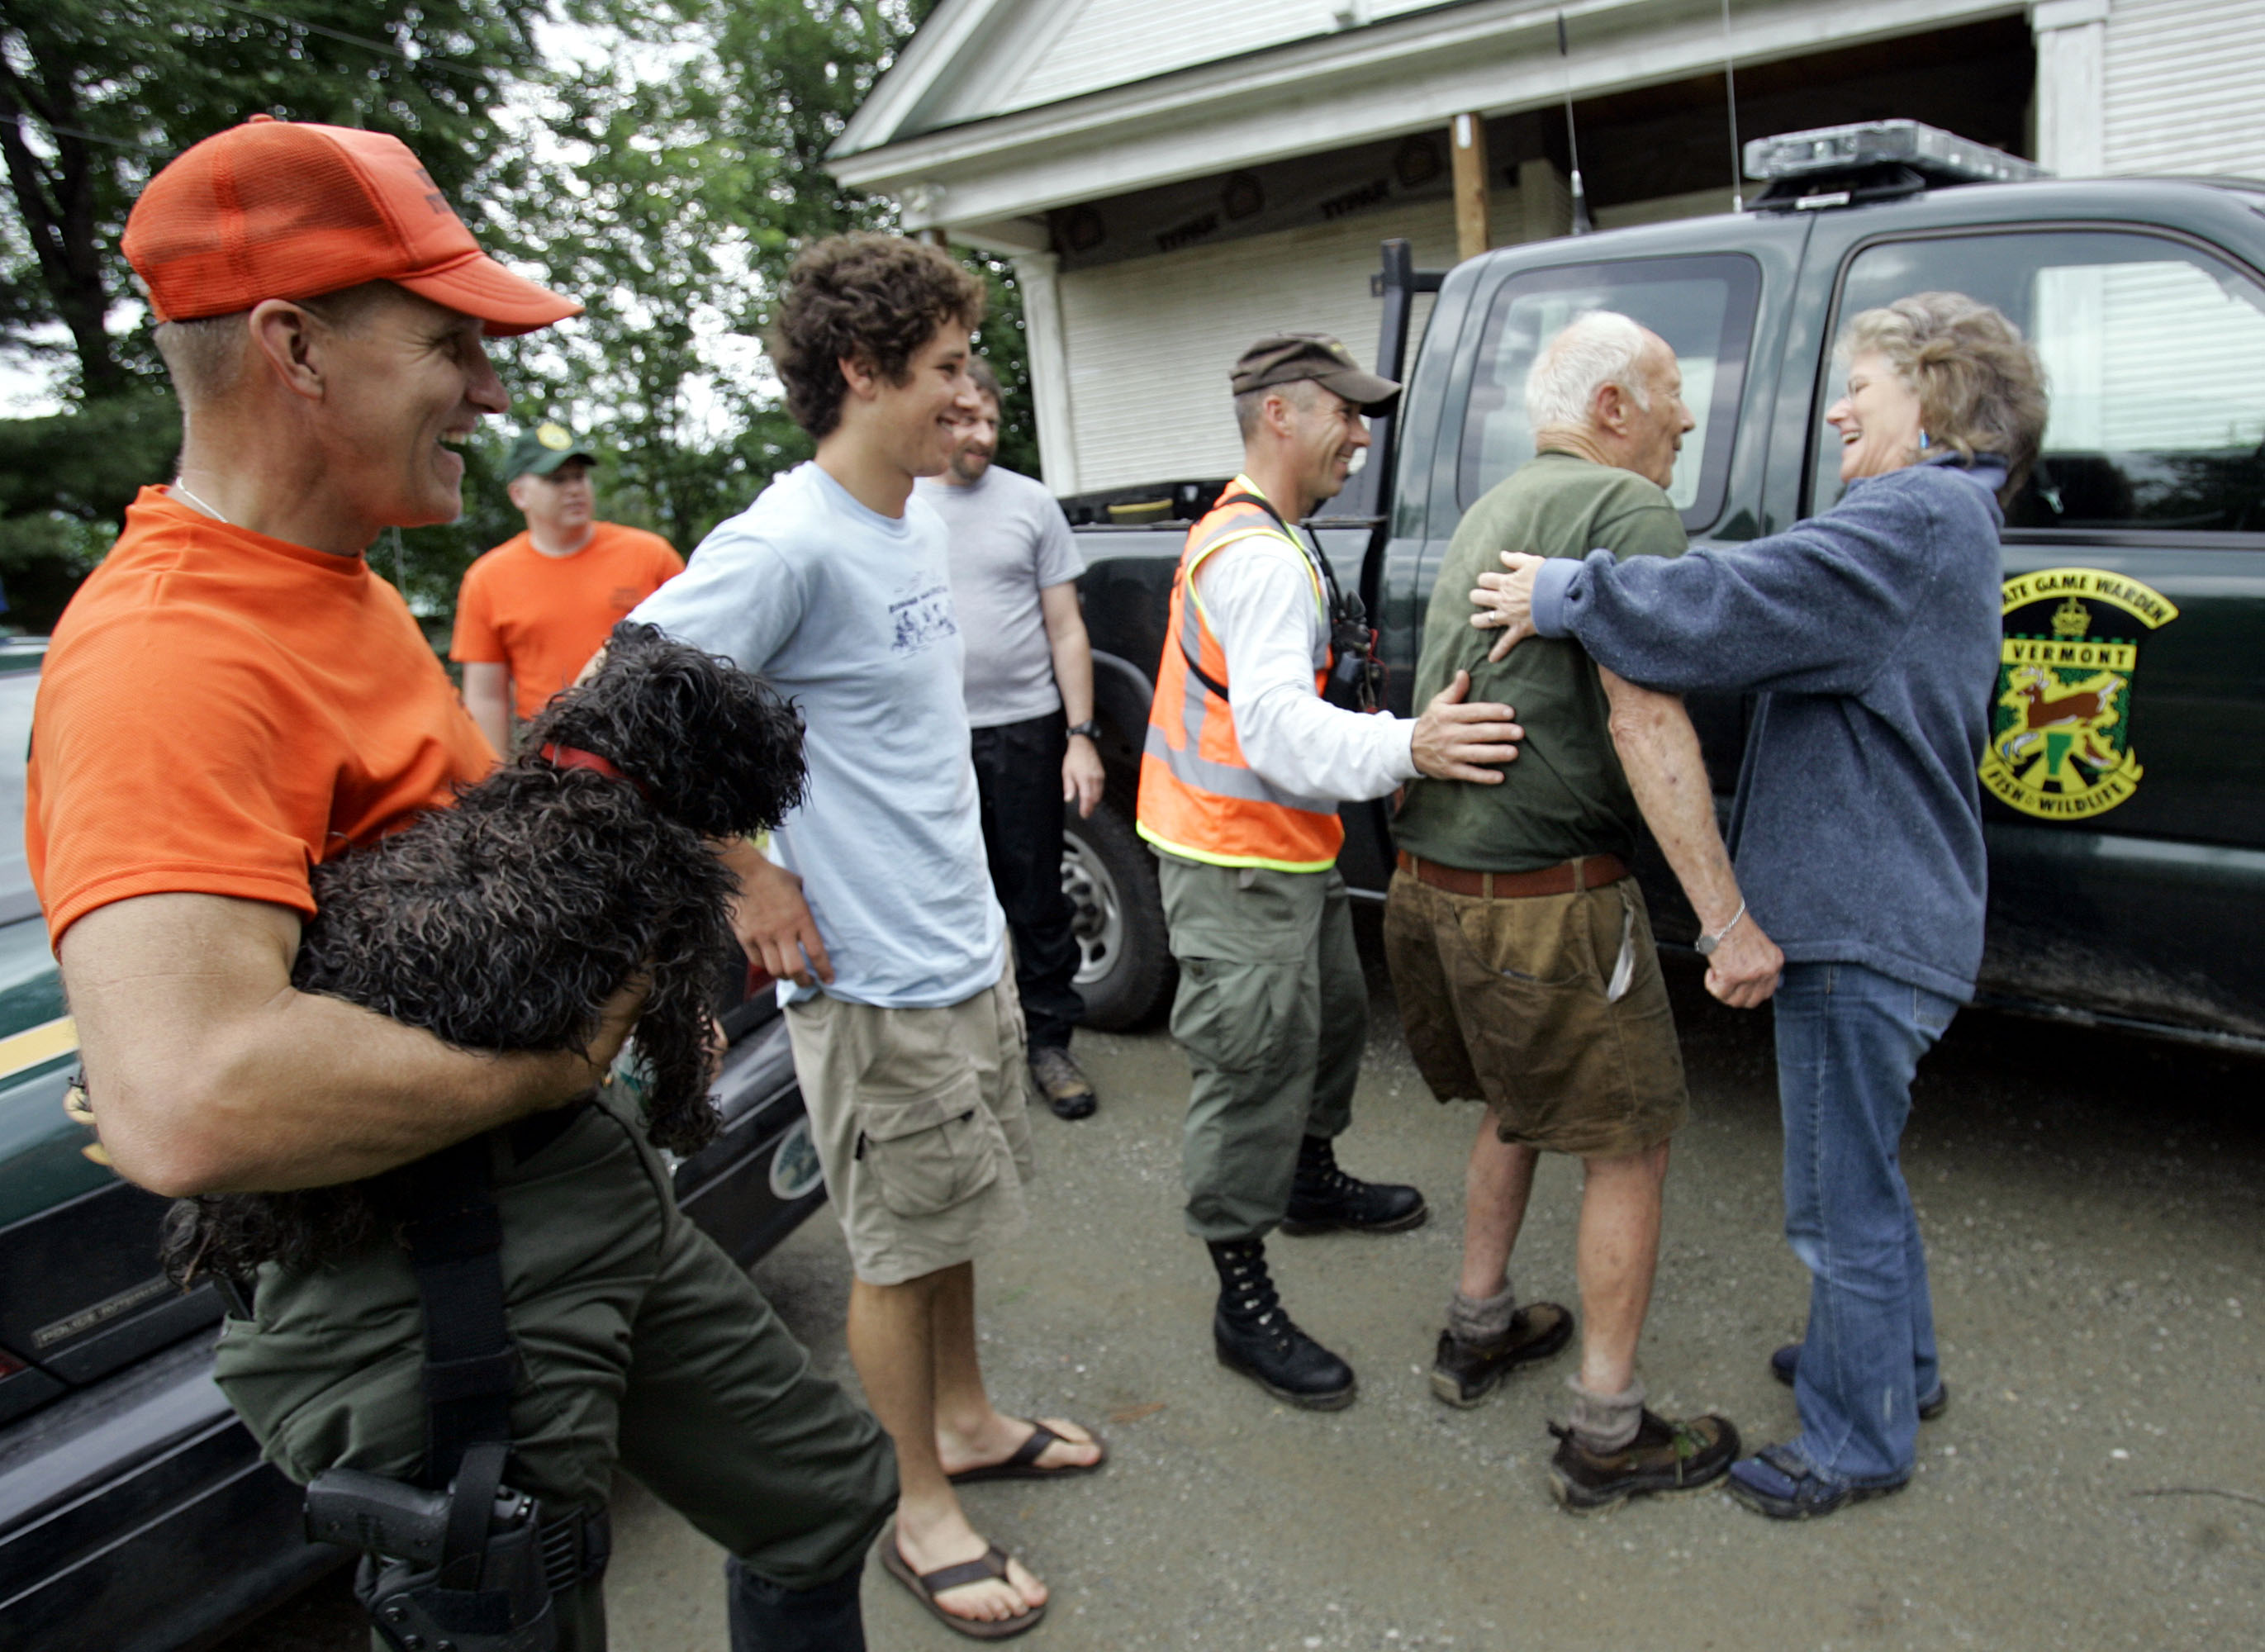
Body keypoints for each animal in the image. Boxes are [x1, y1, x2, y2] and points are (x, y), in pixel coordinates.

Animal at [165, 625, 806, 1278]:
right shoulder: (678, 955)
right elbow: (682, 1053)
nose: (797, 725)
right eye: (746, 706)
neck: (601, 773)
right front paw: (690, 1124)